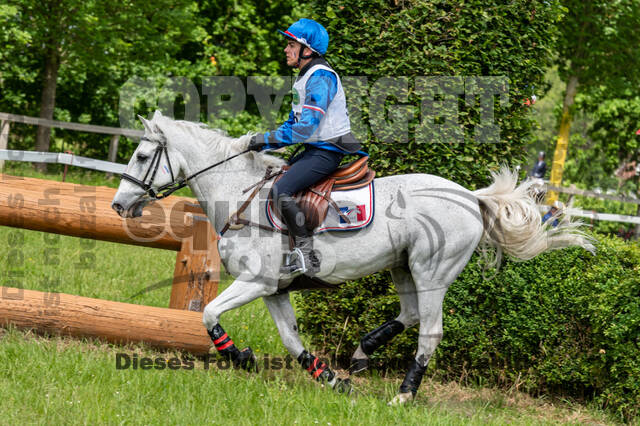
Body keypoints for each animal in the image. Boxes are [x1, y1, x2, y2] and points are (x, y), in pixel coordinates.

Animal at [111, 111, 594, 405]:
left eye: (141, 154)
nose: (118, 206)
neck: (238, 194)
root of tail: (470, 198)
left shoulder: (256, 283)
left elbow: (209, 313)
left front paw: (240, 357)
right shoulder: (274, 290)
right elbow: (291, 340)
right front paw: (328, 378)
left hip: (431, 271)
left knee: (430, 330)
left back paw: (404, 393)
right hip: (403, 266)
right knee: (409, 314)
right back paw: (362, 353)